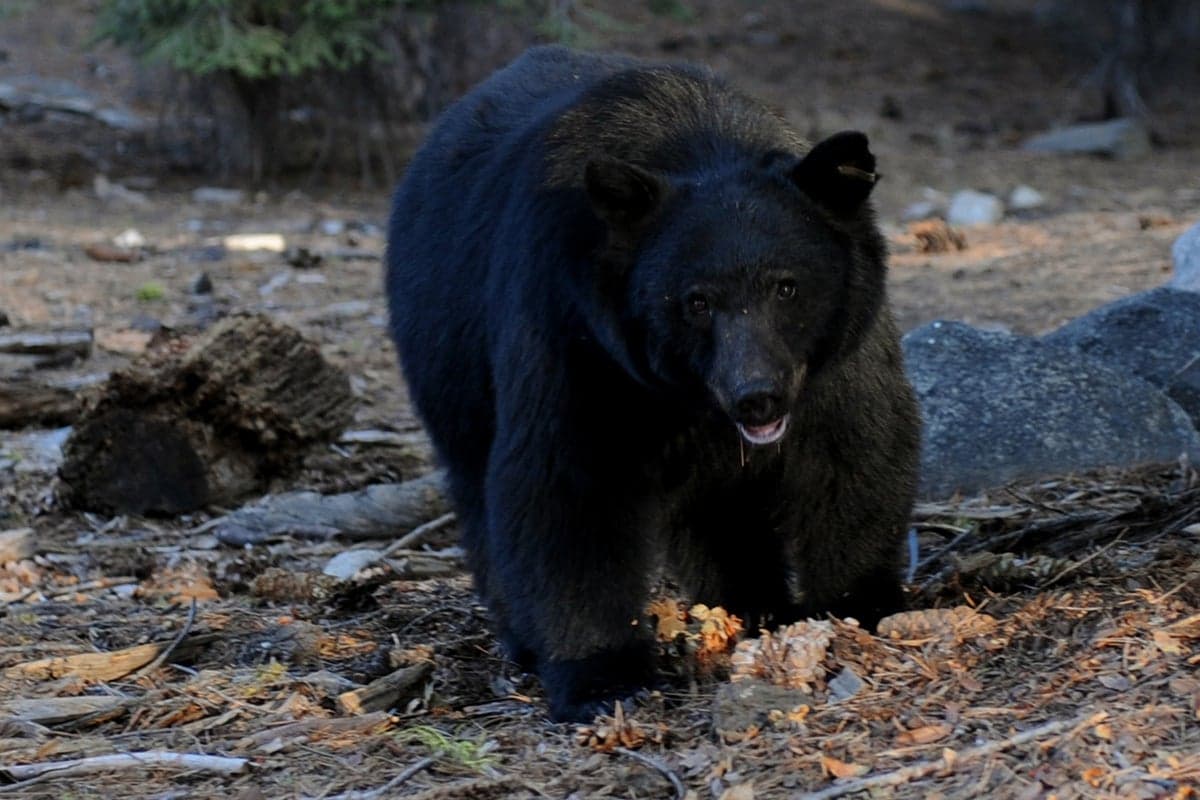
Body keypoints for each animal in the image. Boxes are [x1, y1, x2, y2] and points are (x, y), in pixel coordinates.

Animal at [385, 45, 921, 722]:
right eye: (696, 301)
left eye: (787, 286)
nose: (757, 396)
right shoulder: (576, 333)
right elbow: (569, 485)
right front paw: (603, 676)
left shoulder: (837, 354)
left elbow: (854, 451)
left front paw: (860, 605)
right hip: (448, 356)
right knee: (478, 488)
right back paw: (524, 638)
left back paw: (750, 603)